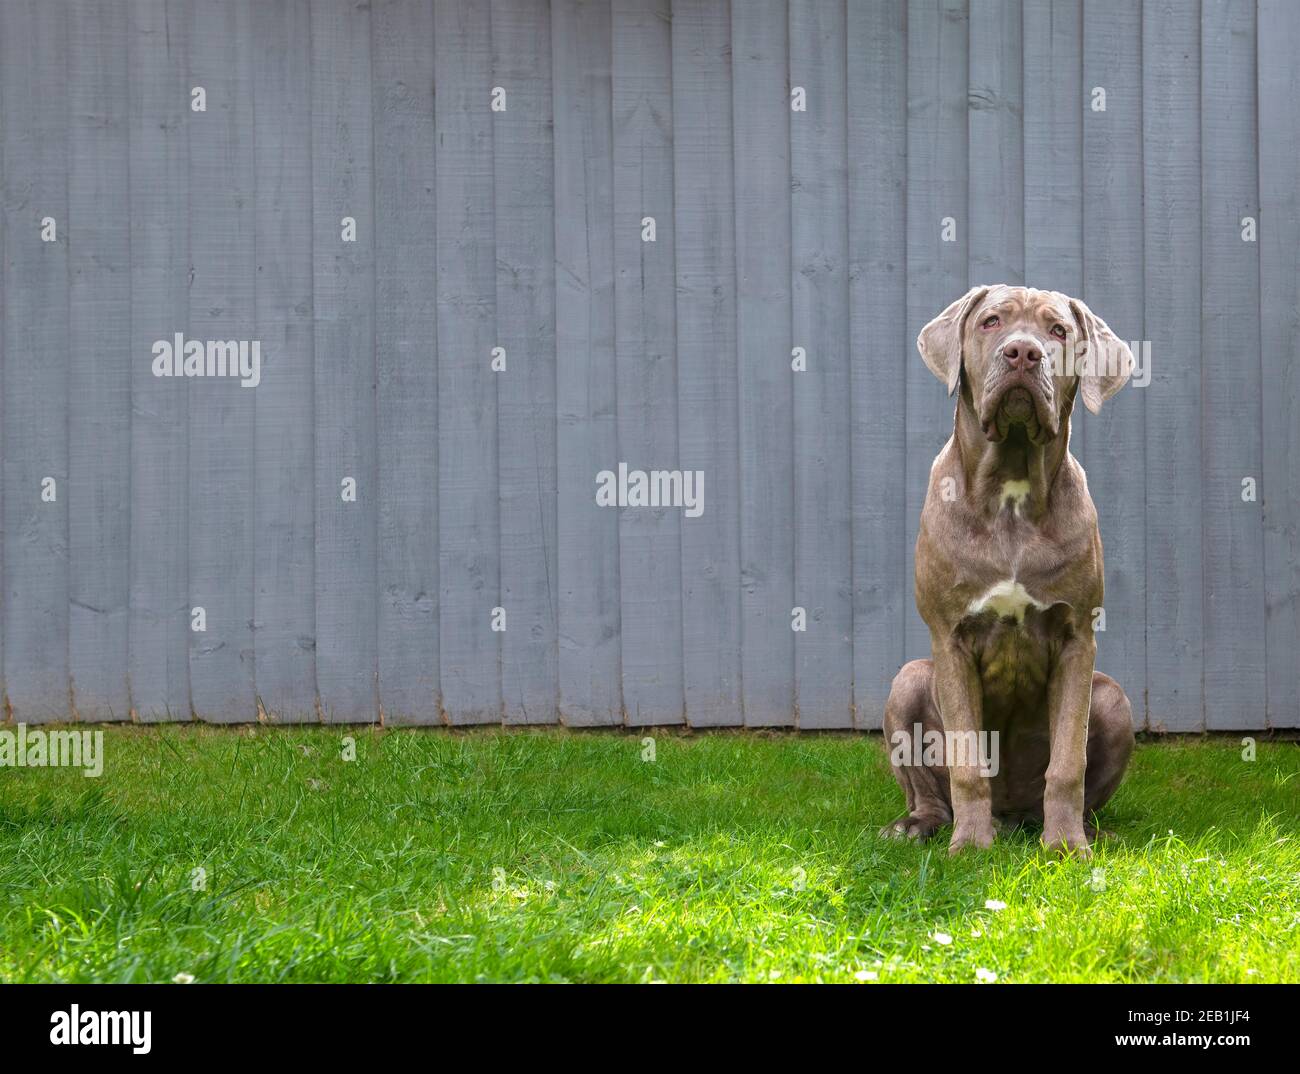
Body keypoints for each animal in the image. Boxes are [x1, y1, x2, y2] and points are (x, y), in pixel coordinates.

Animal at [883, 282, 1138, 852]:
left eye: (1058, 330)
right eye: (991, 322)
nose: (1023, 352)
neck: (1012, 496)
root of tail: (1013, 814)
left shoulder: (1077, 638)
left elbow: (1067, 761)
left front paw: (1065, 845)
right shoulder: (951, 638)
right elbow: (967, 761)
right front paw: (970, 846)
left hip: (1113, 699)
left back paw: (1086, 830)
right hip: (908, 679)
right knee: (929, 789)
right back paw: (921, 824)